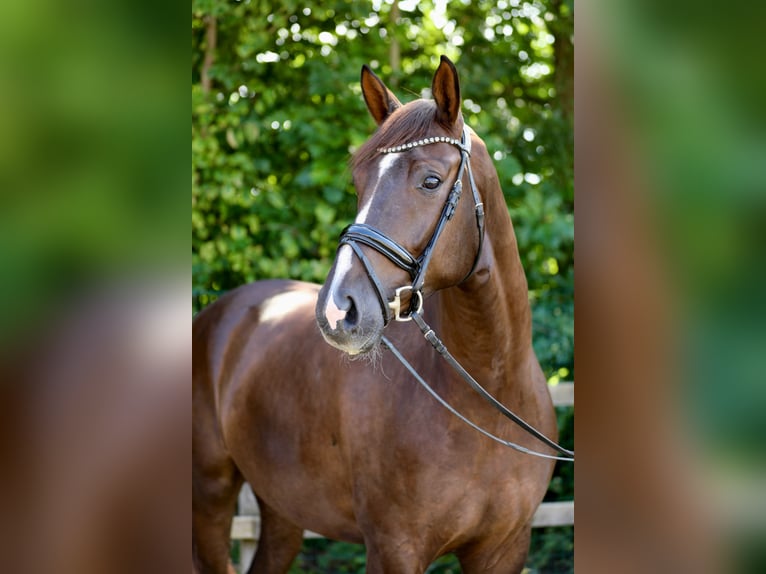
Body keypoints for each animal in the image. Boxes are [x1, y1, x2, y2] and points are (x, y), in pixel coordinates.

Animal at [194, 57, 560, 574]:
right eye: (358, 183)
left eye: (430, 180)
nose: (337, 310)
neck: (488, 393)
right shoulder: (394, 548)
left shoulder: (505, 549)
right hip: (210, 495)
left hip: (282, 509)